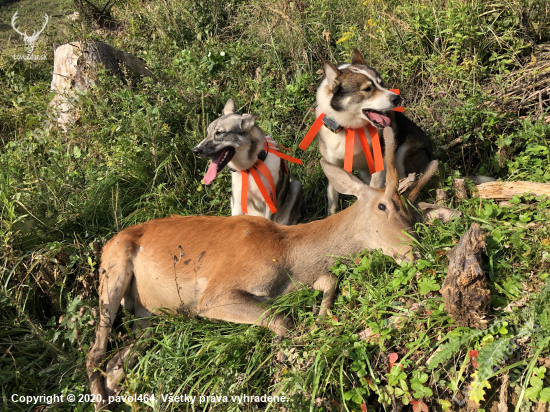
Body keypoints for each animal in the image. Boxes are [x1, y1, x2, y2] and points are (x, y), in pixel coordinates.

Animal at [87, 128, 440, 408]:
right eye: (383, 206)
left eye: (410, 209)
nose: (416, 250)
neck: (286, 255)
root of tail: (107, 243)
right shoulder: (215, 294)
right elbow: (282, 320)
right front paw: (289, 369)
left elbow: (326, 280)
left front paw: (319, 319)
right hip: (113, 273)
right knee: (95, 354)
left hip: (146, 316)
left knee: (116, 365)